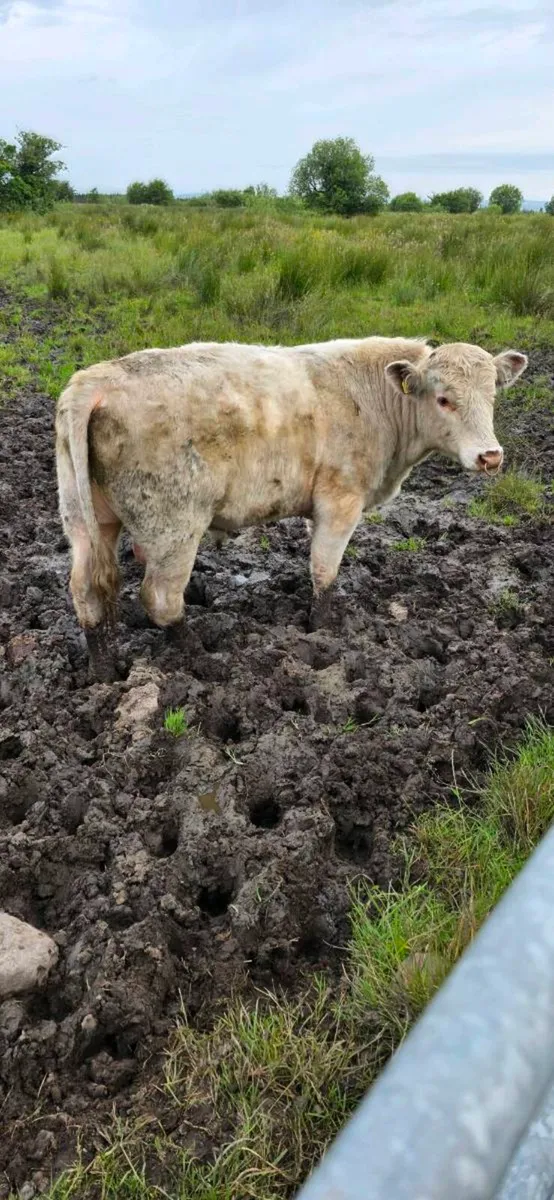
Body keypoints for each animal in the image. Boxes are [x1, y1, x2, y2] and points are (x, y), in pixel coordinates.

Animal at [55, 336, 527, 679]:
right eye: (444, 399)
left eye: (492, 396)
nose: (490, 456)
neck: (371, 399)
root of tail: (99, 379)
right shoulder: (340, 500)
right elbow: (324, 569)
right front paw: (322, 629)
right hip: (175, 526)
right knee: (160, 598)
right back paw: (198, 653)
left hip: (85, 519)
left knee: (87, 592)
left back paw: (103, 670)